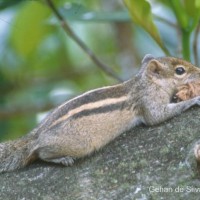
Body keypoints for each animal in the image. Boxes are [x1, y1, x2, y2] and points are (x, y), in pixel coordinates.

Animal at [1, 53, 200, 173]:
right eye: (180, 71)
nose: (199, 71)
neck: (146, 82)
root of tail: (34, 136)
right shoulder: (149, 102)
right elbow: (157, 117)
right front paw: (193, 100)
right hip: (78, 144)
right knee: (41, 153)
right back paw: (62, 159)